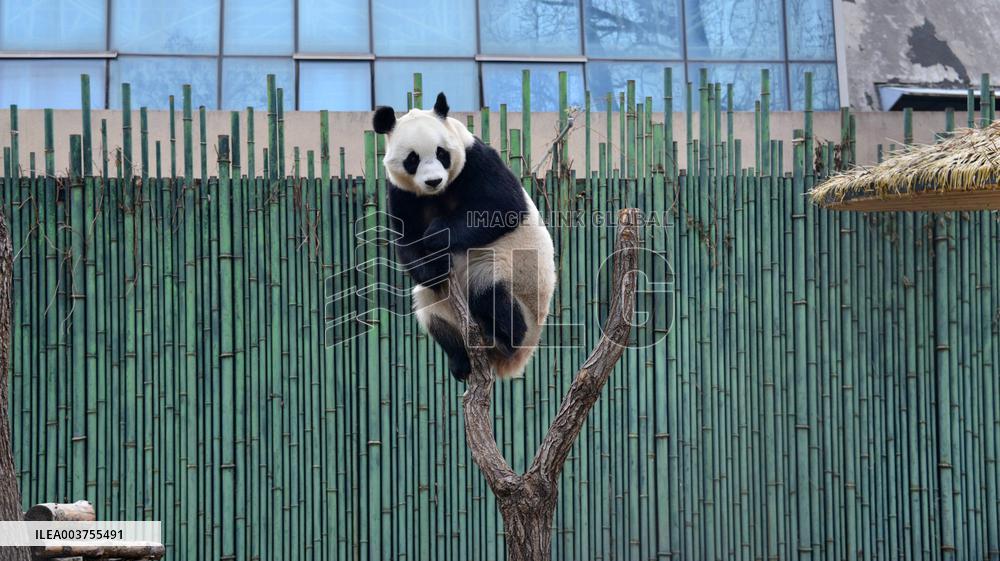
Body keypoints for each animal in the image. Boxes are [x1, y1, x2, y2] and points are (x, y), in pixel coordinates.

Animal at [373, 92, 556, 382]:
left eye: (441, 153)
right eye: (412, 159)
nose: (433, 181)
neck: (438, 194)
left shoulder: (476, 160)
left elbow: (503, 206)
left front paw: (438, 234)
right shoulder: (401, 191)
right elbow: (407, 238)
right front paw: (434, 265)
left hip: (515, 279)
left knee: (490, 291)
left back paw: (504, 337)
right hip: (441, 306)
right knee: (430, 309)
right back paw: (460, 362)